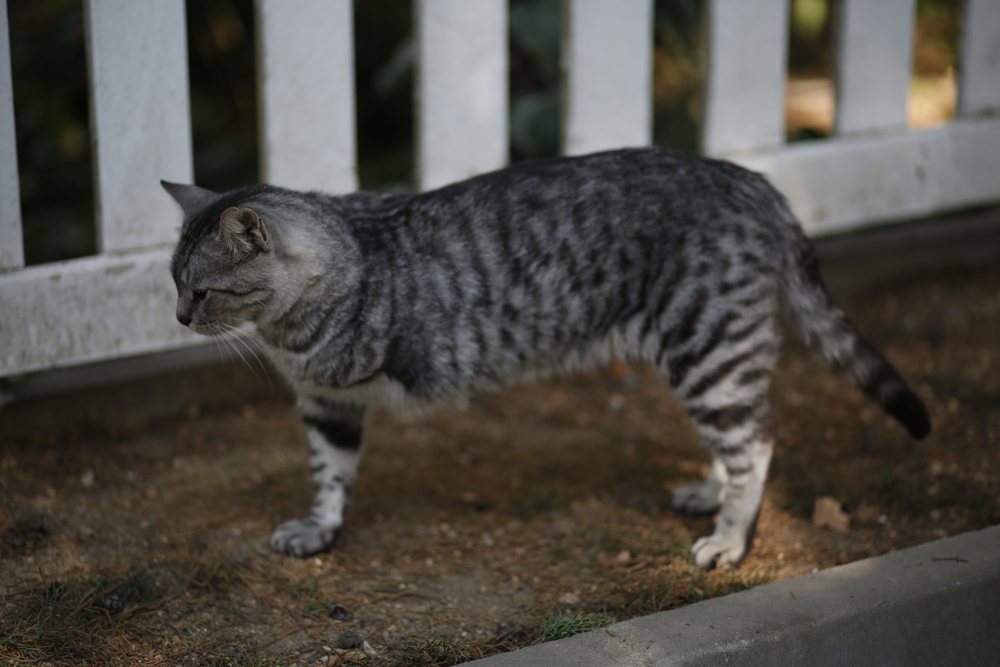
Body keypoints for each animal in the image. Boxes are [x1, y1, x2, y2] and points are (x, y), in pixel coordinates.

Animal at [162, 149, 928, 572]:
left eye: (202, 289)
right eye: (172, 282)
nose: (178, 317)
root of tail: (759, 183)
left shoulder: (336, 386)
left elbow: (333, 466)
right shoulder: (328, 405)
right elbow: (329, 473)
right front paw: (321, 527)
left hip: (708, 344)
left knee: (756, 444)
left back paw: (729, 538)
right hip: (711, 353)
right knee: (736, 438)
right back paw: (708, 495)